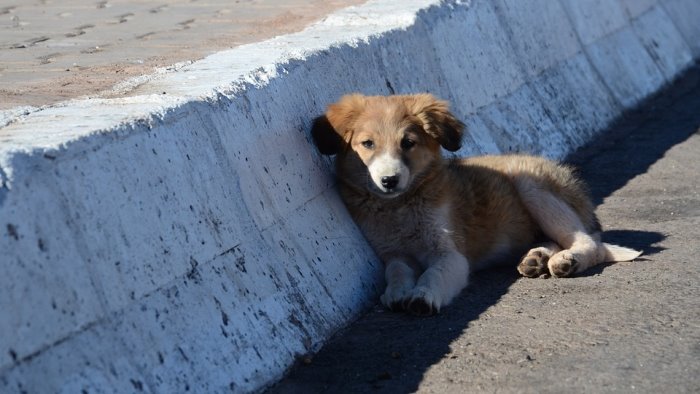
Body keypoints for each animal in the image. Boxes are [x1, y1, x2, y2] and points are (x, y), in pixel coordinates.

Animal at [312, 94, 640, 316]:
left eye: (408, 143)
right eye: (367, 144)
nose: (389, 180)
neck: (400, 207)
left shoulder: (451, 254)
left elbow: (434, 274)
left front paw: (422, 296)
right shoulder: (392, 252)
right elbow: (396, 271)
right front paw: (397, 292)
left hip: (530, 184)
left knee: (591, 243)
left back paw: (566, 261)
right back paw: (536, 258)